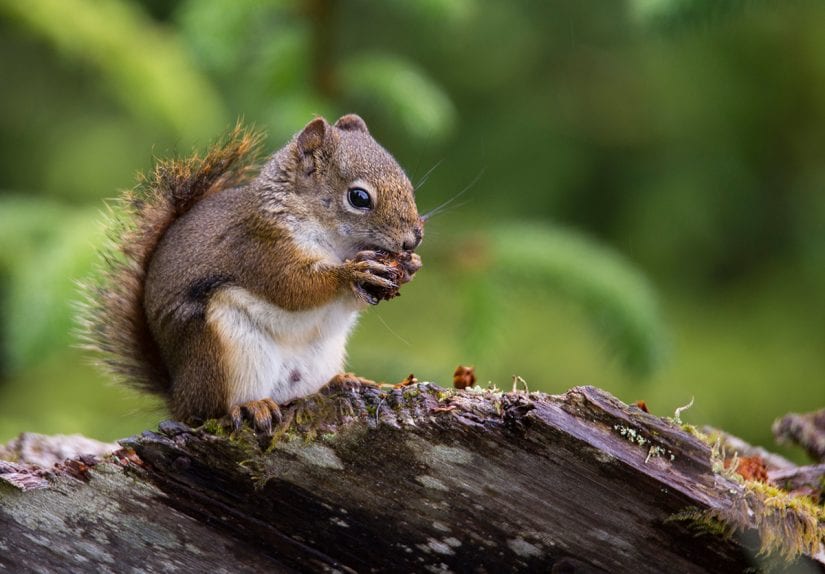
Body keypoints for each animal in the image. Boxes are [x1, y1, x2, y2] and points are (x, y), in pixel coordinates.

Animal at [83, 115, 422, 434]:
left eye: (407, 184)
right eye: (359, 198)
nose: (413, 240)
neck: (336, 242)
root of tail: (177, 396)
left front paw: (409, 266)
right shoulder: (261, 246)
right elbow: (293, 287)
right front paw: (351, 272)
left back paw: (344, 380)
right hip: (223, 350)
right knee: (213, 409)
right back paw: (251, 406)